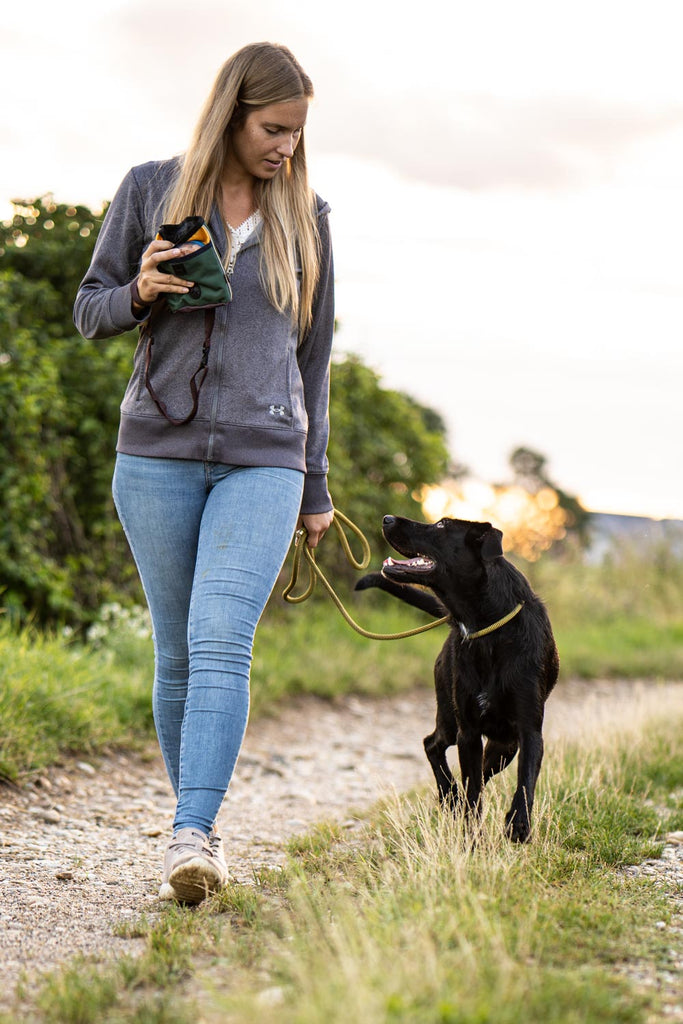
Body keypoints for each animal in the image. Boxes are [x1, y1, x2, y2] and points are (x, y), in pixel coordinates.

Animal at [356, 512, 557, 839]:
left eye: (441, 526)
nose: (386, 518)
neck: (487, 629)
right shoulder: (469, 732)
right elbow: (473, 792)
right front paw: (472, 838)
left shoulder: (529, 731)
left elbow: (525, 781)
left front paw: (518, 823)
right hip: (451, 717)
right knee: (432, 745)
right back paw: (449, 796)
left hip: (504, 745)